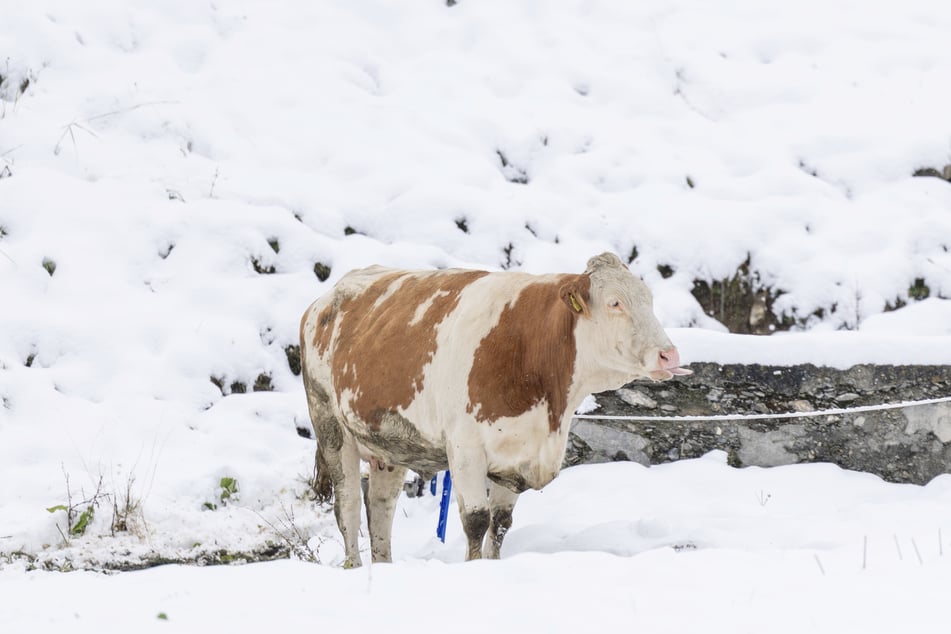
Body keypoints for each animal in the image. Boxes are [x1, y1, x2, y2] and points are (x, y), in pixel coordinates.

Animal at [302, 249, 688, 564]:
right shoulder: (465, 448)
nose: (669, 355)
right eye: (615, 303)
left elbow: (501, 523)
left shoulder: (518, 453)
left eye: (649, 300)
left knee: (380, 506)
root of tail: (324, 300)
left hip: (389, 442)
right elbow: (476, 520)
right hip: (330, 425)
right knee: (348, 505)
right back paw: (354, 565)